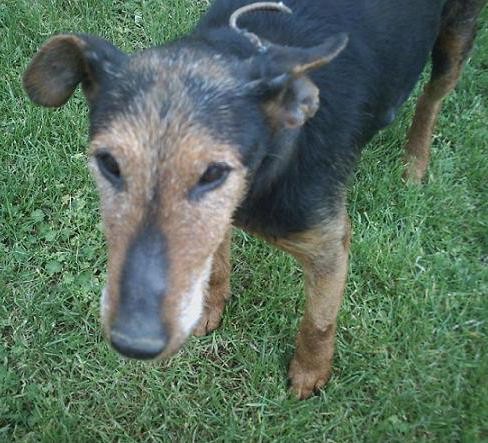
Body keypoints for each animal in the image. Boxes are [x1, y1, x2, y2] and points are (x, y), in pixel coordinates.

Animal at [23, 0, 488, 400]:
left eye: (214, 172)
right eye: (108, 163)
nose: (134, 342)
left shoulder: (329, 243)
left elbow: (319, 321)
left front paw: (309, 374)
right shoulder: (220, 223)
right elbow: (216, 267)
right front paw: (210, 310)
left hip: (456, 37)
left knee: (433, 96)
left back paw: (415, 164)